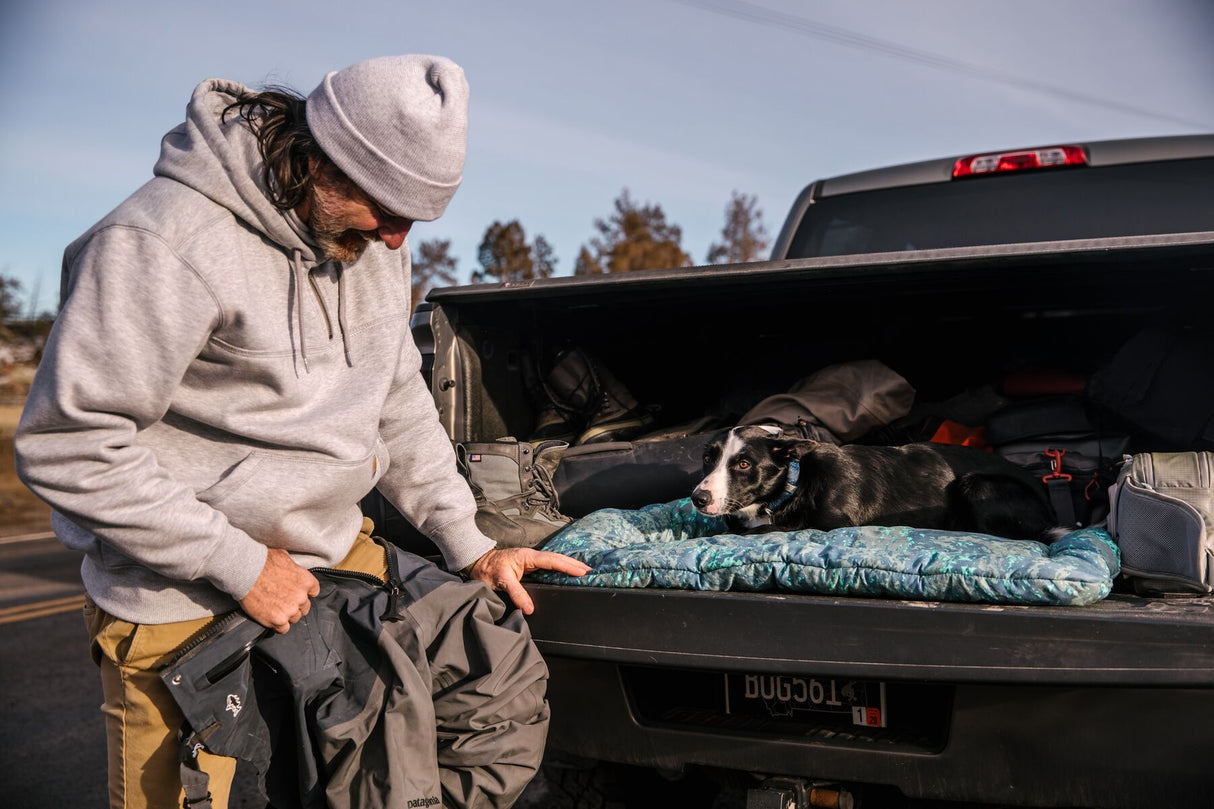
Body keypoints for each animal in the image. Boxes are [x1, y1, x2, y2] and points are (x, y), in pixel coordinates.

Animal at [694, 422, 1063, 541]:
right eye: (708, 458)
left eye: (743, 464)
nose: (698, 498)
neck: (794, 486)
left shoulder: (830, 525)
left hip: (978, 485)